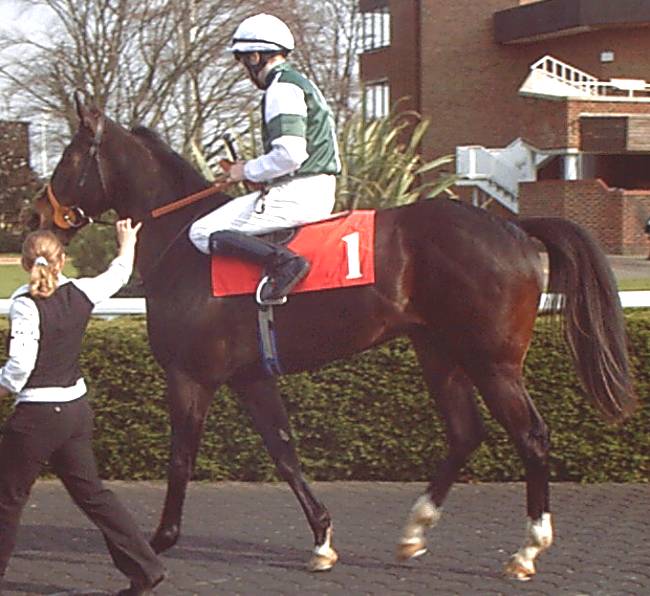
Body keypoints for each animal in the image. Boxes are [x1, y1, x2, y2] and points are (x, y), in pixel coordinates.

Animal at [32, 97, 636, 580]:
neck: (185, 247)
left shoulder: (190, 376)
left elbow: (181, 457)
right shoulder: (250, 377)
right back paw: (414, 531)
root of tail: (513, 226)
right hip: (438, 351)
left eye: (68, 157)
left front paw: (158, 541)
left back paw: (526, 551)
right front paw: (322, 540)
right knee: (465, 432)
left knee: (531, 436)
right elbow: (283, 451)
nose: (36, 212)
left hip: (493, 361)